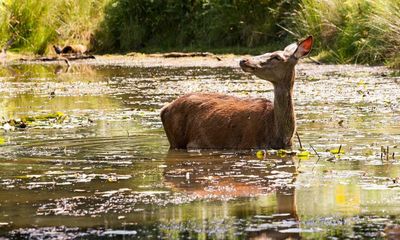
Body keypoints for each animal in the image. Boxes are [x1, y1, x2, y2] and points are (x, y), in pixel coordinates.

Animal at [159, 35, 312, 149]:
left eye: (277, 57)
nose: (244, 60)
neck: (278, 135)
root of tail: (164, 109)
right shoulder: (247, 144)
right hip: (176, 140)